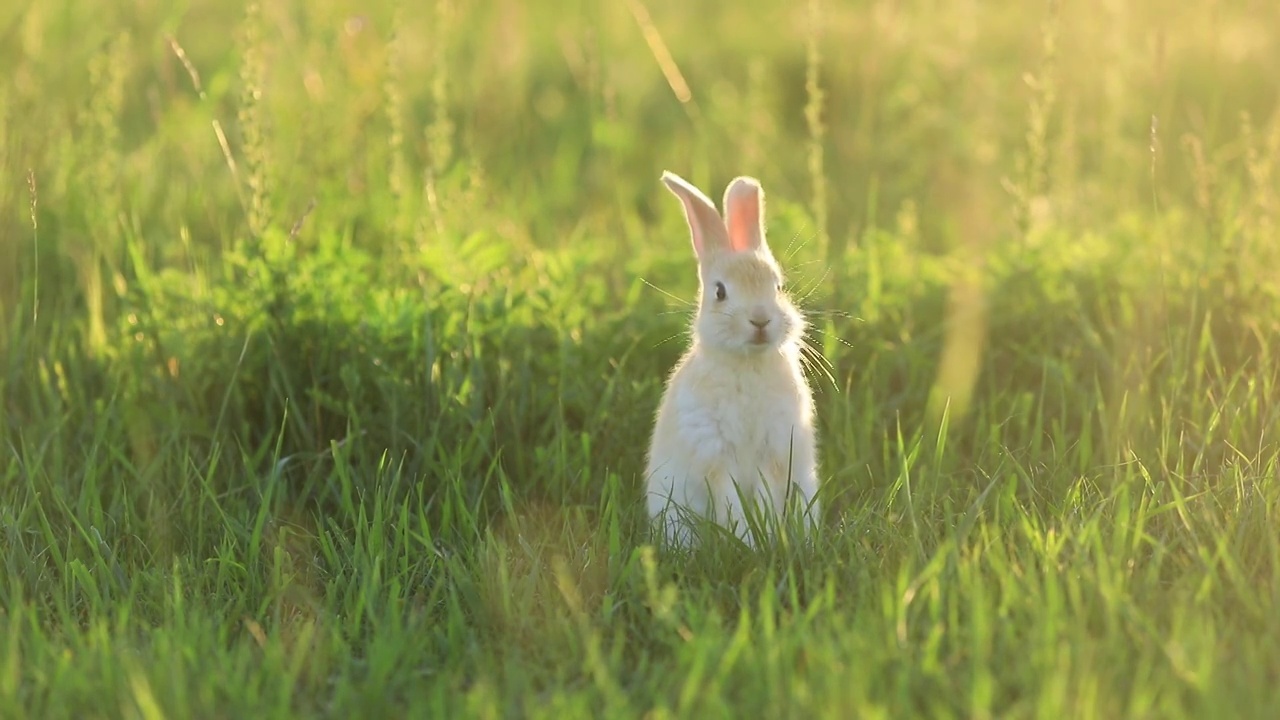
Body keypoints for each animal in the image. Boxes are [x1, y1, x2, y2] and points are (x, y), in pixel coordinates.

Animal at [645, 170, 824, 545]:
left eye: (778, 287)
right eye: (720, 292)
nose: (760, 320)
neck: (747, 362)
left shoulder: (774, 452)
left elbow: (766, 499)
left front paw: (766, 539)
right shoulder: (715, 455)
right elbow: (732, 503)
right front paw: (748, 542)